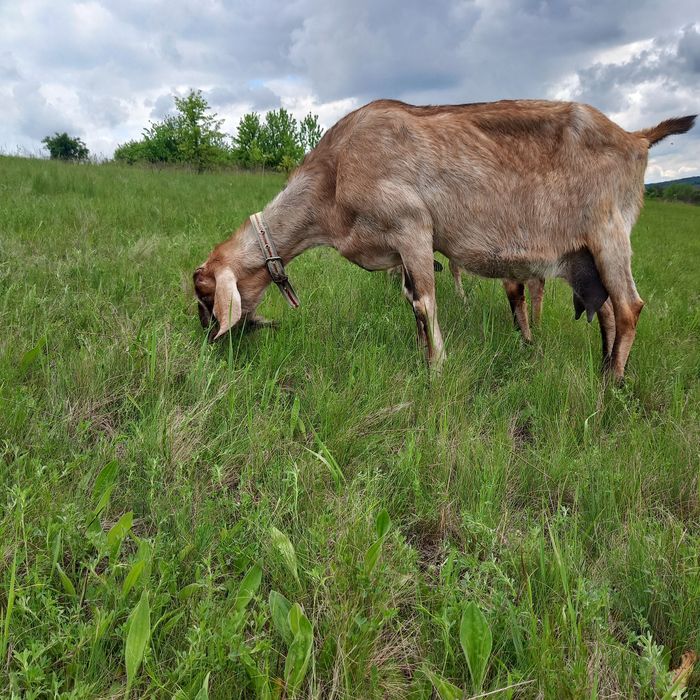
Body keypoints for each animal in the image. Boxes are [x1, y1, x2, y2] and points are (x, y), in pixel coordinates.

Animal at [194, 99, 695, 381]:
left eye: (204, 296)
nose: (208, 338)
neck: (333, 178)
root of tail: (635, 137)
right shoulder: (398, 249)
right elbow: (411, 300)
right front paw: (424, 357)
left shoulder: (412, 226)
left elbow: (424, 303)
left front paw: (437, 367)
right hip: (585, 254)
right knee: (608, 310)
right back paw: (606, 366)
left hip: (610, 233)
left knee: (629, 307)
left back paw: (612, 382)